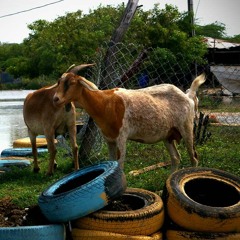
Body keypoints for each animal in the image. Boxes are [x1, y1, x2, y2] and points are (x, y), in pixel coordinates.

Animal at [53, 66, 205, 172]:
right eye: (59, 82)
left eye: (71, 82)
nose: (56, 99)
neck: (104, 103)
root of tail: (188, 96)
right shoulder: (109, 140)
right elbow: (111, 164)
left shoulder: (121, 137)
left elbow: (119, 166)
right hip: (168, 135)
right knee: (175, 158)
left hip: (186, 128)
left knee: (194, 157)